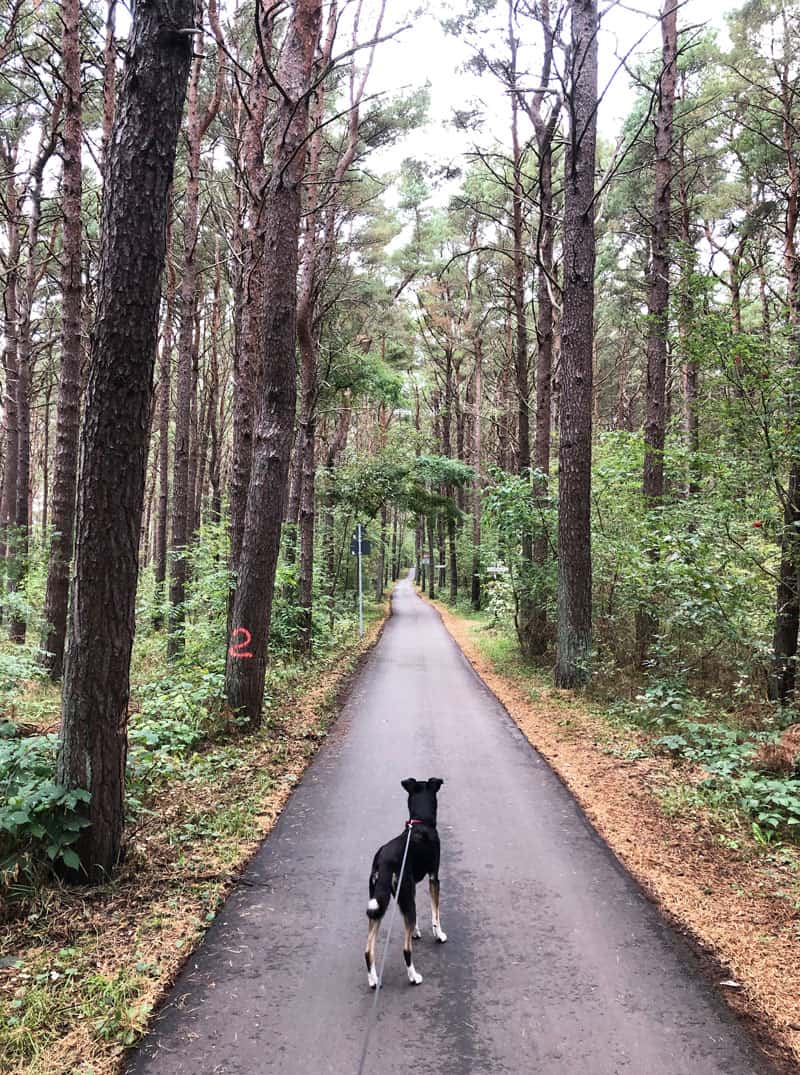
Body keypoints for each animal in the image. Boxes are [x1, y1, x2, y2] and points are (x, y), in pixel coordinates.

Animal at [365, 778, 447, 984]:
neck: (420, 822)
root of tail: (383, 861)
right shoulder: (434, 878)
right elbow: (436, 914)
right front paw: (439, 934)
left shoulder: (410, 892)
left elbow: (415, 919)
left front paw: (416, 931)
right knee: (406, 949)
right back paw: (414, 977)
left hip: (379, 903)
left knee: (368, 950)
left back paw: (373, 979)